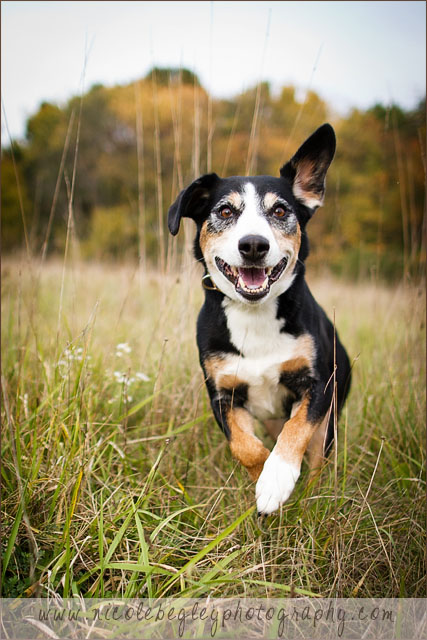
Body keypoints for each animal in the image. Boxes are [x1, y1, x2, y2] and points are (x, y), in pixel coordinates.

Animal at [167, 124, 352, 516]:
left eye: (280, 210)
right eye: (224, 210)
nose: (253, 244)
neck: (254, 315)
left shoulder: (317, 385)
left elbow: (297, 430)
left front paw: (277, 479)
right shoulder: (222, 395)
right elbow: (245, 447)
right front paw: (263, 477)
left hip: (331, 417)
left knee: (317, 458)